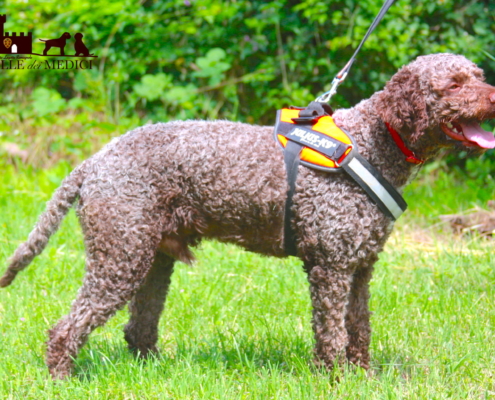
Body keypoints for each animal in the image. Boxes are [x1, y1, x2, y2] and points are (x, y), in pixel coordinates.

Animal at [2, 53, 495, 378]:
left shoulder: (360, 268)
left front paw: (362, 377)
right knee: (67, 327)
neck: (370, 143)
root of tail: (95, 160)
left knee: (138, 329)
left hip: (152, 260)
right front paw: (334, 379)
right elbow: (332, 333)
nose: (493, 97)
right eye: (454, 83)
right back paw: (62, 376)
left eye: (478, 75)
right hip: (119, 257)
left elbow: (359, 329)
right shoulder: (331, 267)